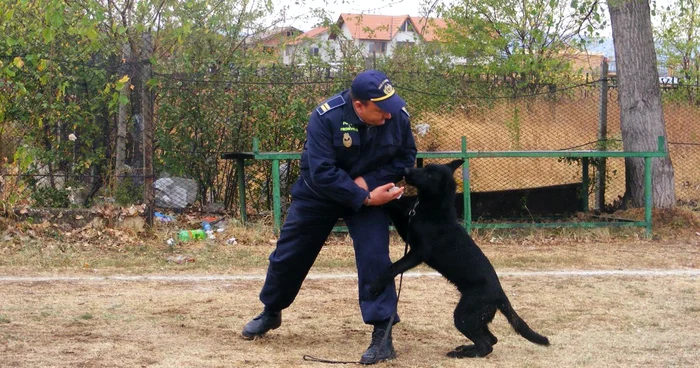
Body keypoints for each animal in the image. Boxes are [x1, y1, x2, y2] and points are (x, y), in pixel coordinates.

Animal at [372, 160, 552, 358]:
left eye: (429, 174)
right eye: (425, 167)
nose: (405, 171)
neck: (435, 208)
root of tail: (500, 294)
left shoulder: (418, 252)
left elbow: (395, 267)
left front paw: (377, 284)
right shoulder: (408, 232)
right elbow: (395, 209)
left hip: (463, 316)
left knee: (486, 346)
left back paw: (461, 353)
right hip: (475, 318)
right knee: (491, 340)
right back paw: (466, 348)